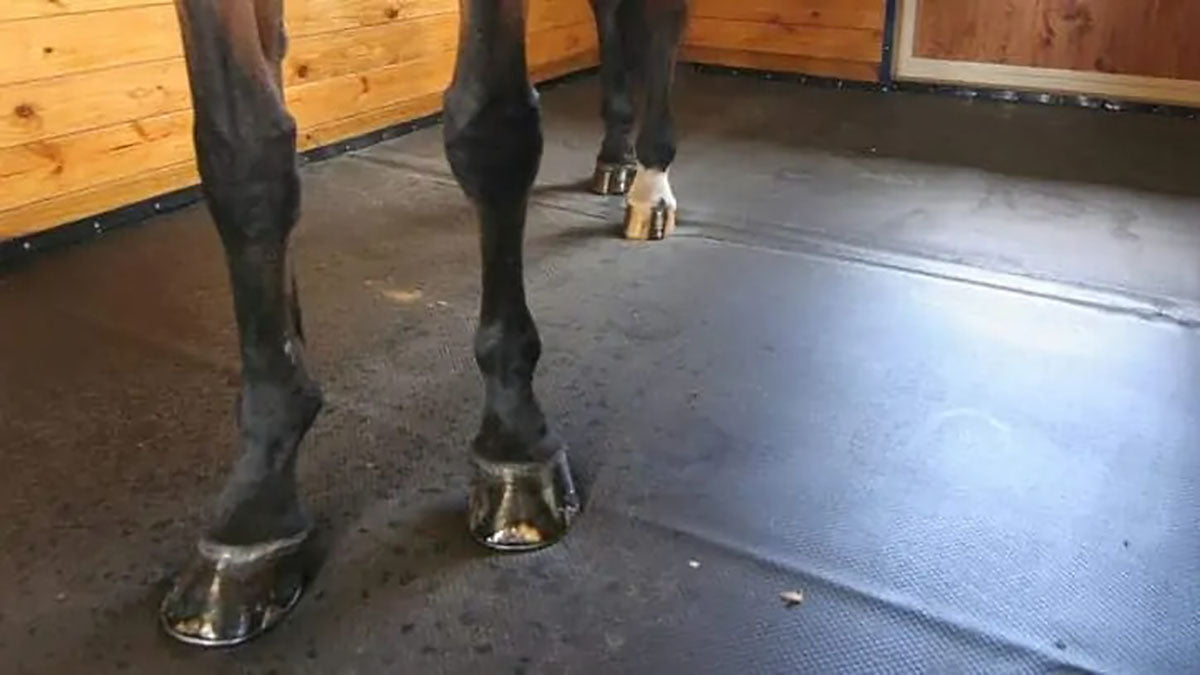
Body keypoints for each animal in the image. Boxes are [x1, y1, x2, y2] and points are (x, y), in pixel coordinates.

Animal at [159, 0, 687, 646]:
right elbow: (244, 155)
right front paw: (255, 512)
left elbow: (492, 125)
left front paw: (516, 441)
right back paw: (616, 158)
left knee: (659, 26)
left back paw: (651, 186)